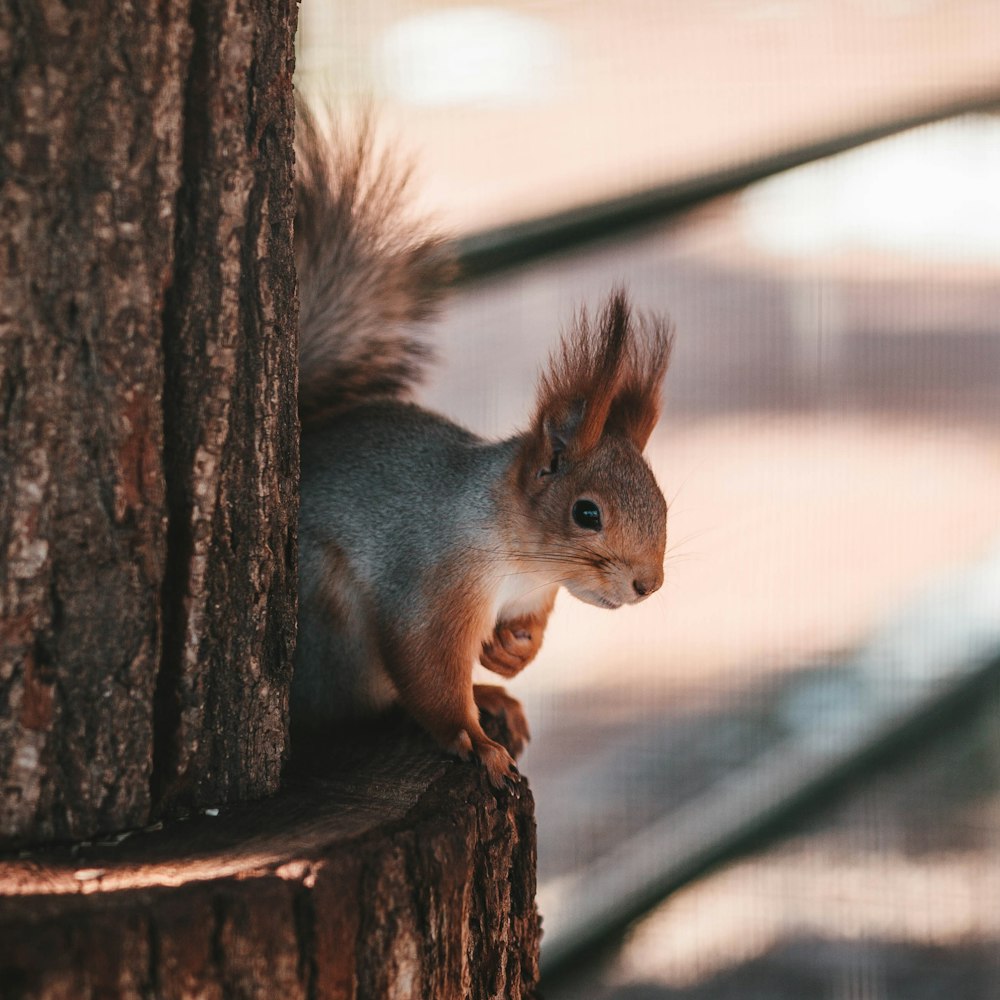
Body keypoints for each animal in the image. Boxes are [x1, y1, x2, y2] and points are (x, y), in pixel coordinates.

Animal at [292, 107, 676, 788]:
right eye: (586, 513)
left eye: (664, 505)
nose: (648, 585)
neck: (525, 562)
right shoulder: (432, 582)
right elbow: (429, 671)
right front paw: (472, 741)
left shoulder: (533, 595)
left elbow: (524, 634)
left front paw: (513, 652)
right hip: (325, 618)